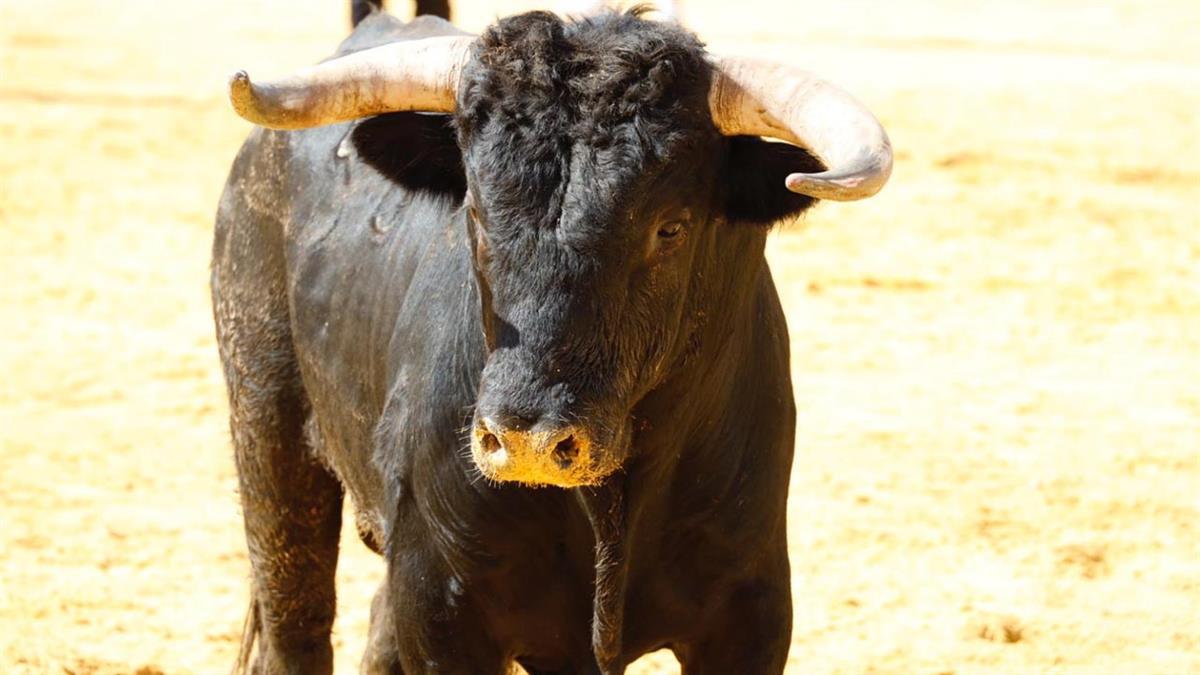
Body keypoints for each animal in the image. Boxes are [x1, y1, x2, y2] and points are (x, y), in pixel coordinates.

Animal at [213, 2, 892, 667]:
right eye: (476, 213)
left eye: (669, 228)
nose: (526, 442)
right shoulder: (440, 604)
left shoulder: (753, 610)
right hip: (267, 435)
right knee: (295, 626)